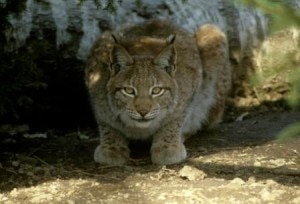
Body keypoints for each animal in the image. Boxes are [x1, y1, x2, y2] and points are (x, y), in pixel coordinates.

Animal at [85, 19, 231, 165]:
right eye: (129, 90)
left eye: (156, 90)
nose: (143, 112)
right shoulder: (95, 85)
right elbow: (106, 124)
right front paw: (112, 147)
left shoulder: (189, 89)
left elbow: (175, 120)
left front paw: (167, 146)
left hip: (212, 32)